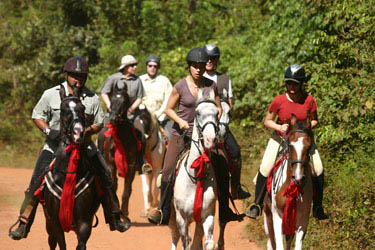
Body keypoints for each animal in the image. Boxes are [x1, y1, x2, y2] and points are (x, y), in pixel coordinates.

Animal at [41, 89, 101, 249]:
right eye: (63, 109)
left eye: (83, 108)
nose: (78, 132)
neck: (67, 174)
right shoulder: (55, 222)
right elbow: (61, 244)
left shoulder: (84, 222)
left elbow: (81, 243)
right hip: (48, 224)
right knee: (51, 241)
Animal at [97, 84, 138, 230]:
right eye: (112, 99)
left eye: (125, 102)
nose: (114, 119)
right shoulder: (110, 165)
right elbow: (113, 187)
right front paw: (116, 214)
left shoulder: (131, 166)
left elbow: (127, 191)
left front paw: (125, 216)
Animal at [170, 90, 220, 250]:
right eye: (197, 113)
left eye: (217, 112)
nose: (210, 139)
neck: (196, 175)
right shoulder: (181, 218)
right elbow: (185, 242)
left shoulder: (208, 216)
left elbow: (208, 243)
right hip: (172, 219)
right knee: (174, 238)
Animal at [264, 116, 314, 249]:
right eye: (291, 145)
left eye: (309, 147)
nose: (298, 177)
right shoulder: (277, 215)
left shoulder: (303, 220)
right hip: (268, 217)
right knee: (270, 241)